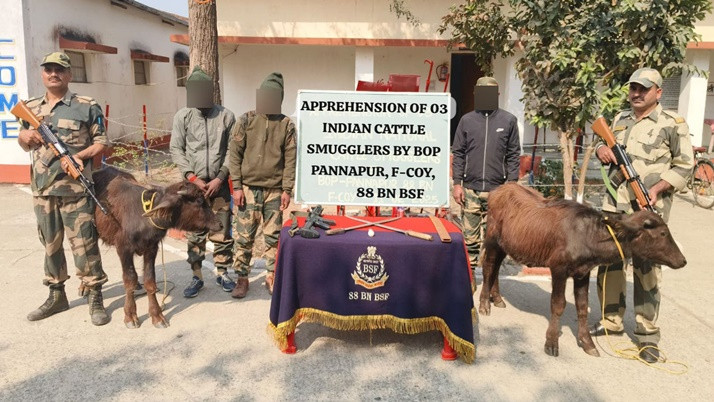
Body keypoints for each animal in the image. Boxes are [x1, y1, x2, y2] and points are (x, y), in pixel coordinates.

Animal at [93, 168, 220, 328]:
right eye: (198, 201)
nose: (219, 223)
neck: (143, 218)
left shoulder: (151, 249)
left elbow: (150, 281)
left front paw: (157, 315)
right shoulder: (123, 249)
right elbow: (129, 280)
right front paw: (130, 315)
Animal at [478, 182, 684, 354]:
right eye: (663, 233)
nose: (682, 260)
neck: (588, 235)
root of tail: (498, 189)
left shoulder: (582, 274)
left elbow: (582, 307)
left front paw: (587, 343)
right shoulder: (558, 270)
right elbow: (558, 305)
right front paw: (551, 342)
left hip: (505, 245)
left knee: (496, 267)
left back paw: (497, 298)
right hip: (492, 240)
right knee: (488, 267)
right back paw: (484, 304)